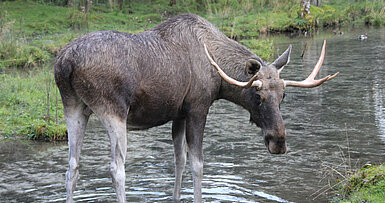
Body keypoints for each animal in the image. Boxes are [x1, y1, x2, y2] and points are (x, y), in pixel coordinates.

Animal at [53, 13, 336, 202]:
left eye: (284, 95)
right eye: (257, 95)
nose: (278, 141)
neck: (219, 77)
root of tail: (65, 62)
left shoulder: (178, 113)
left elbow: (179, 160)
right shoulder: (198, 108)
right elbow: (197, 164)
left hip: (73, 106)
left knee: (72, 166)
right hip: (113, 111)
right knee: (116, 168)